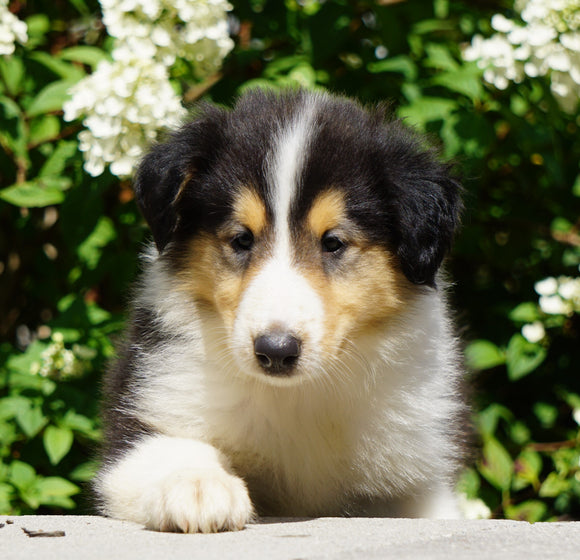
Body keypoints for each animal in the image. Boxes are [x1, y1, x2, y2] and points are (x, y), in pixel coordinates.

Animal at [95, 88, 466, 532]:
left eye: (333, 242)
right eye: (241, 239)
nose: (275, 351)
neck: (297, 396)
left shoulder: (418, 480)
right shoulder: (148, 414)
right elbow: (171, 449)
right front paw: (199, 488)